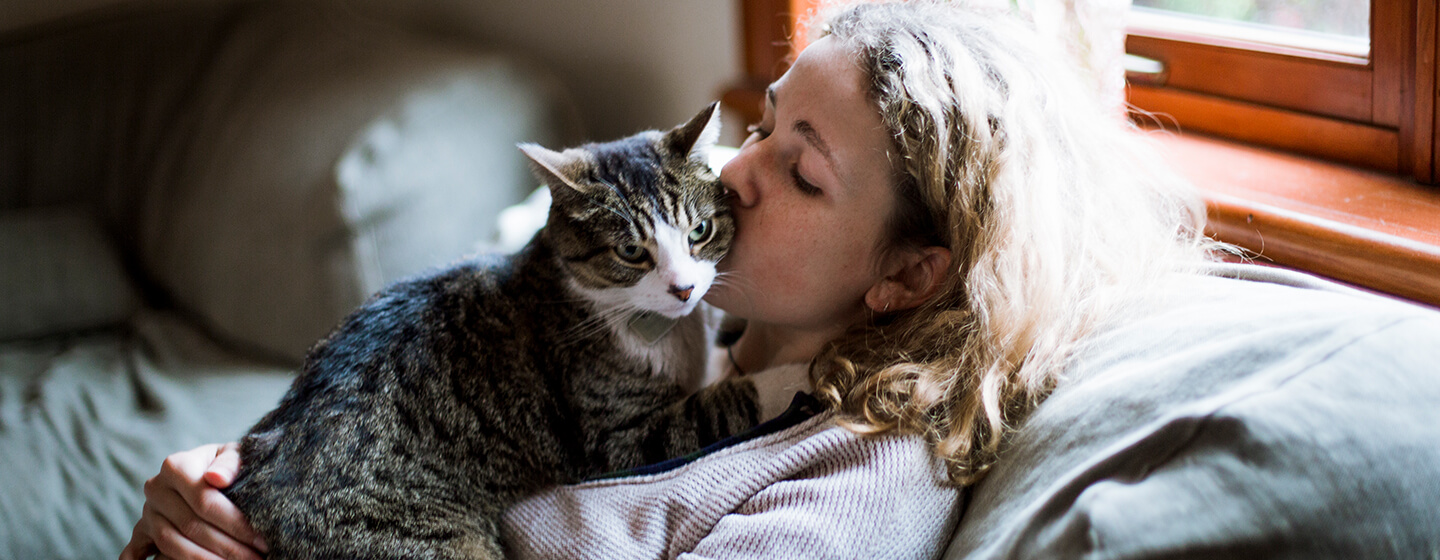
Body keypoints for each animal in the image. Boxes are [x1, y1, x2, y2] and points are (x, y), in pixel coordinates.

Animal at [221, 102, 766, 555]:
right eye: (631, 251)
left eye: (700, 231)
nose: (683, 289)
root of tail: (257, 490)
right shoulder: (619, 439)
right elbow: (721, 404)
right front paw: (787, 382)